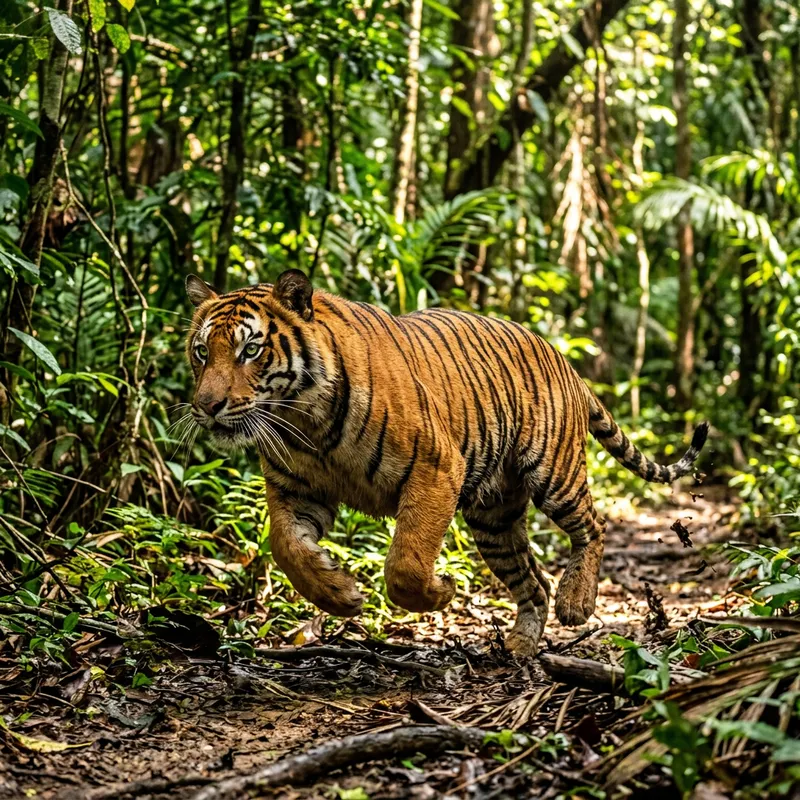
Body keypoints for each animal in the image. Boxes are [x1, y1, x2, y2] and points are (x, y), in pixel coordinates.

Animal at [185, 269, 708, 655]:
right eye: (201, 352)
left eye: (250, 350)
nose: (206, 406)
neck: (303, 419)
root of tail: (564, 359)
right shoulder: (295, 489)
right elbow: (286, 548)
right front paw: (341, 594)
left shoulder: (435, 467)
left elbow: (407, 562)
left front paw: (441, 591)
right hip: (494, 517)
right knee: (533, 581)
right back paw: (520, 645)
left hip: (553, 474)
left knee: (593, 527)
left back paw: (576, 603)